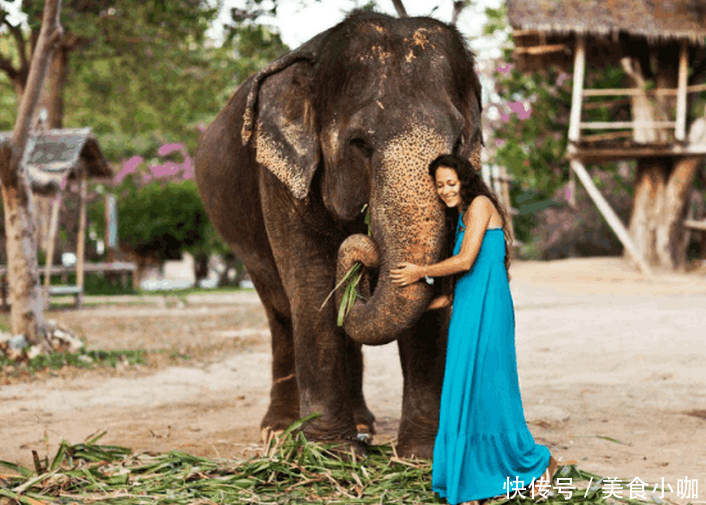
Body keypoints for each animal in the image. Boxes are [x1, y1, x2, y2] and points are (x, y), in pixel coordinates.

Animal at [194, 7, 484, 456]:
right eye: (360, 143)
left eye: (457, 142)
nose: (366, 248)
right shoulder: (279, 177)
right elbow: (312, 286)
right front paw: (331, 453)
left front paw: (419, 456)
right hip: (244, 243)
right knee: (280, 312)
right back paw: (279, 430)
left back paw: (362, 423)